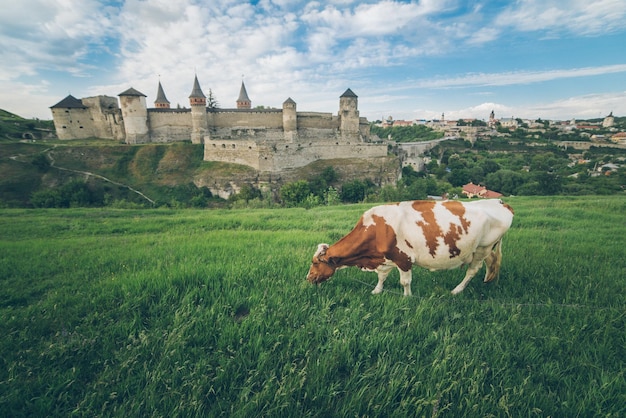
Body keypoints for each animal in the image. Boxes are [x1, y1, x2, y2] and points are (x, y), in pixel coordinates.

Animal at [304, 198, 516, 294]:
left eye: (315, 263)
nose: (308, 278)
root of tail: (500, 202)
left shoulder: (403, 259)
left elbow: (404, 282)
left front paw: (407, 297)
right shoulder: (384, 258)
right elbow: (382, 277)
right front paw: (376, 291)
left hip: (482, 248)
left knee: (472, 270)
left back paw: (456, 290)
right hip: (484, 248)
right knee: (492, 262)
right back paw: (489, 280)